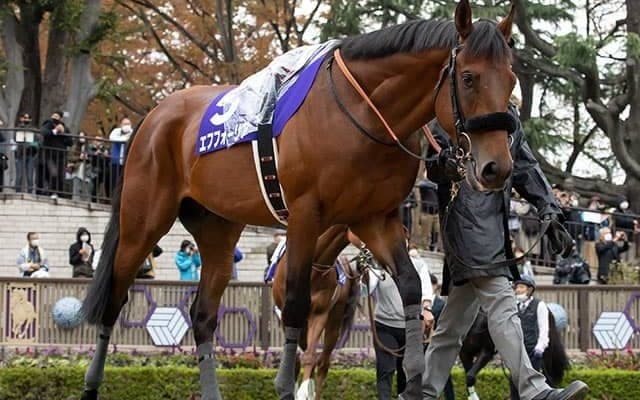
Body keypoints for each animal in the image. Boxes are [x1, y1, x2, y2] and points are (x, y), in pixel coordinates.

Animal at [272, 225, 361, 400]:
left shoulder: (319, 313)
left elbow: (310, 357)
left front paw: (303, 392)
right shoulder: (286, 316)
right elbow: (295, 360)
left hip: (335, 317)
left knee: (323, 362)